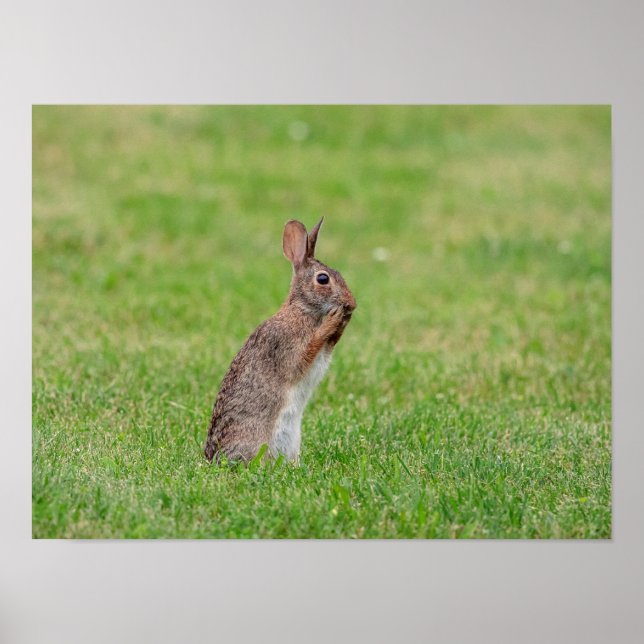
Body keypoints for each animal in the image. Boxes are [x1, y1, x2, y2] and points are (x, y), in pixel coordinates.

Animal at [204, 218, 356, 464]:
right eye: (323, 278)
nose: (352, 303)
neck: (302, 310)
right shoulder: (286, 345)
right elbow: (307, 353)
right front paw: (333, 319)